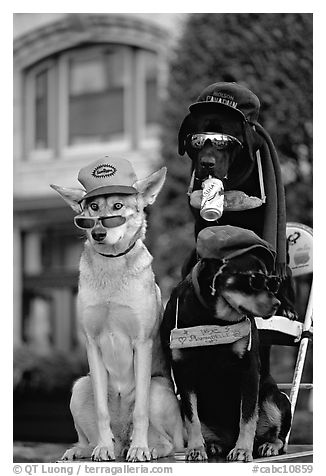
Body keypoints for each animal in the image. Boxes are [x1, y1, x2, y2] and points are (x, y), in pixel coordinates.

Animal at [51, 159, 183, 462]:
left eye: (118, 207)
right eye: (93, 207)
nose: (98, 233)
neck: (112, 267)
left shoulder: (142, 342)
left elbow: (141, 411)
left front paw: (141, 449)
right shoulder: (91, 343)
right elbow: (101, 412)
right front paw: (103, 449)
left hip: (158, 390)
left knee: (169, 442)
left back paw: (147, 448)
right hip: (80, 387)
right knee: (92, 435)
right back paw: (88, 449)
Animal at [162, 227, 292, 462]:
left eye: (273, 282)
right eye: (255, 280)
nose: (277, 303)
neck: (212, 317)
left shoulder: (249, 370)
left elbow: (247, 416)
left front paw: (242, 450)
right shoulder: (183, 373)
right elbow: (192, 418)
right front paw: (196, 448)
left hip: (276, 398)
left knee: (278, 436)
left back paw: (268, 445)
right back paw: (214, 445)